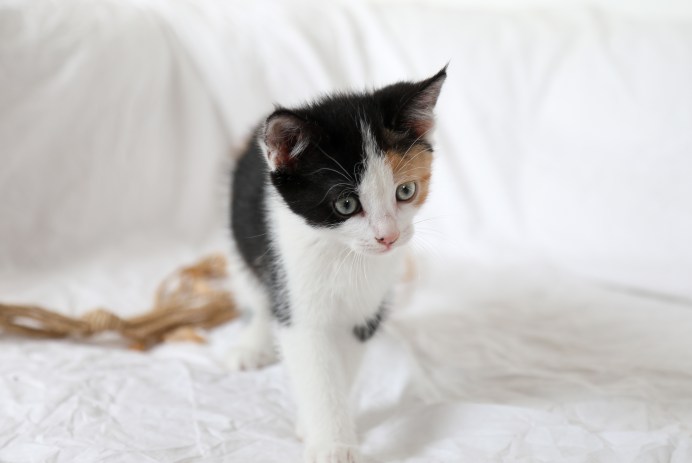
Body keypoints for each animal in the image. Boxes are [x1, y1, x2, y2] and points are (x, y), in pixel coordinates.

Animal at [226, 67, 447, 463]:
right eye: (346, 204)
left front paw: (321, 426)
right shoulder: (294, 286)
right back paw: (252, 344)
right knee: (256, 291)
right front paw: (331, 444)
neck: (345, 254)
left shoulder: (366, 308)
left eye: (405, 191)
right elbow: (316, 365)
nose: (388, 237)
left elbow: (344, 361)